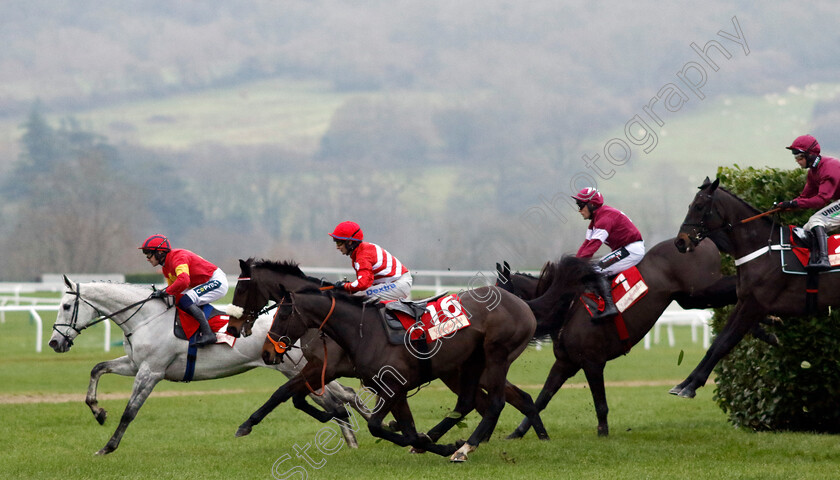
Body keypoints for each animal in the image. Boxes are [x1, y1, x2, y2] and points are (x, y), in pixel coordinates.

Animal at [46, 278, 360, 454]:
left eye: (65, 307)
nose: (54, 342)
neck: (146, 318)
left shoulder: (151, 372)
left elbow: (129, 413)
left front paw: (108, 447)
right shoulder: (135, 364)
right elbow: (97, 368)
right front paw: (98, 411)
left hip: (298, 370)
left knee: (338, 402)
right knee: (344, 397)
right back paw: (352, 442)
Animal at [228, 260, 544, 464]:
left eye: (241, 290)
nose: (233, 327)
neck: (362, 330)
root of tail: (520, 302)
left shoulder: (353, 375)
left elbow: (375, 424)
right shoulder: (377, 385)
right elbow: (291, 395)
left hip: (495, 358)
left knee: (497, 402)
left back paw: (470, 447)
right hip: (466, 367)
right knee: (475, 402)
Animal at [502, 237, 740, 438]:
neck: (566, 307)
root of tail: (701, 238)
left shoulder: (592, 361)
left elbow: (600, 404)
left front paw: (603, 434)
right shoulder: (565, 362)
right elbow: (542, 399)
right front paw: (518, 432)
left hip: (701, 289)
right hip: (691, 298)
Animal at [672, 178, 840, 400]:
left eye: (699, 206)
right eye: (690, 205)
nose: (680, 241)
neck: (762, 249)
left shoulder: (754, 305)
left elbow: (724, 344)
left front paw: (691, 386)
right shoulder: (745, 301)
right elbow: (716, 343)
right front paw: (684, 383)